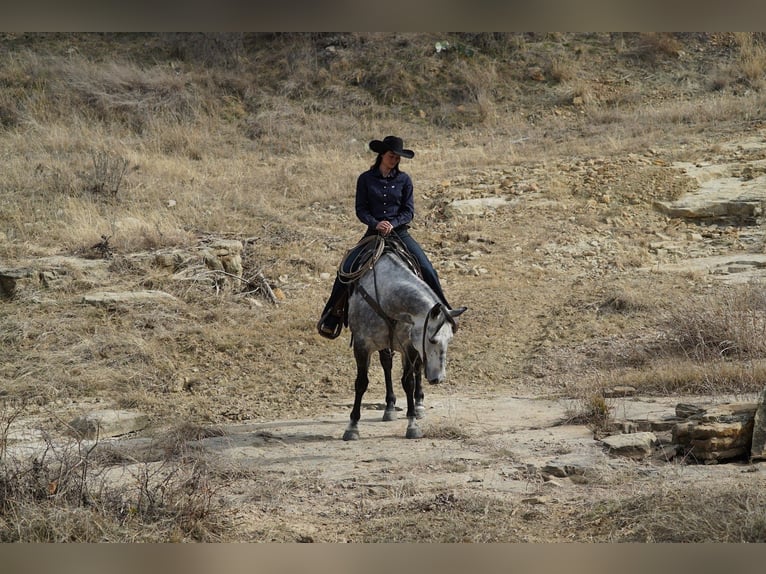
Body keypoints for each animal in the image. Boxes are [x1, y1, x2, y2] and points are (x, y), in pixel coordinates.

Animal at [342, 243, 467, 441]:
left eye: (450, 340)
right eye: (432, 339)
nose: (438, 378)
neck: (386, 297)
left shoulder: (409, 346)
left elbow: (408, 381)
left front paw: (412, 423)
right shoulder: (362, 345)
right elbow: (361, 383)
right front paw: (352, 426)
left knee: (415, 369)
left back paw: (418, 404)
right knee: (386, 364)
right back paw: (389, 407)